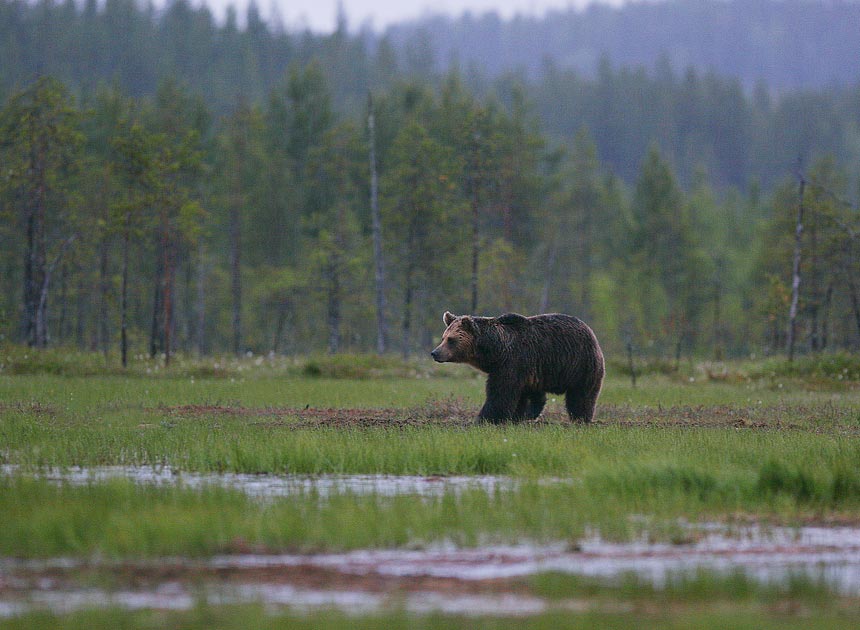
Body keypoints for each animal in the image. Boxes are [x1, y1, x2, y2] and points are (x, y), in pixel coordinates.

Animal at [430, 312, 604, 424]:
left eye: (451, 340)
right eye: (443, 337)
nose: (435, 353)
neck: (495, 351)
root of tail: (591, 332)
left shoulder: (512, 362)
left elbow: (500, 392)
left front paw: (484, 418)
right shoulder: (520, 368)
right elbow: (516, 394)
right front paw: (514, 416)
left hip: (581, 364)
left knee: (582, 394)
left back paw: (581, 418)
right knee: (536, 394)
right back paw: (529, 414)